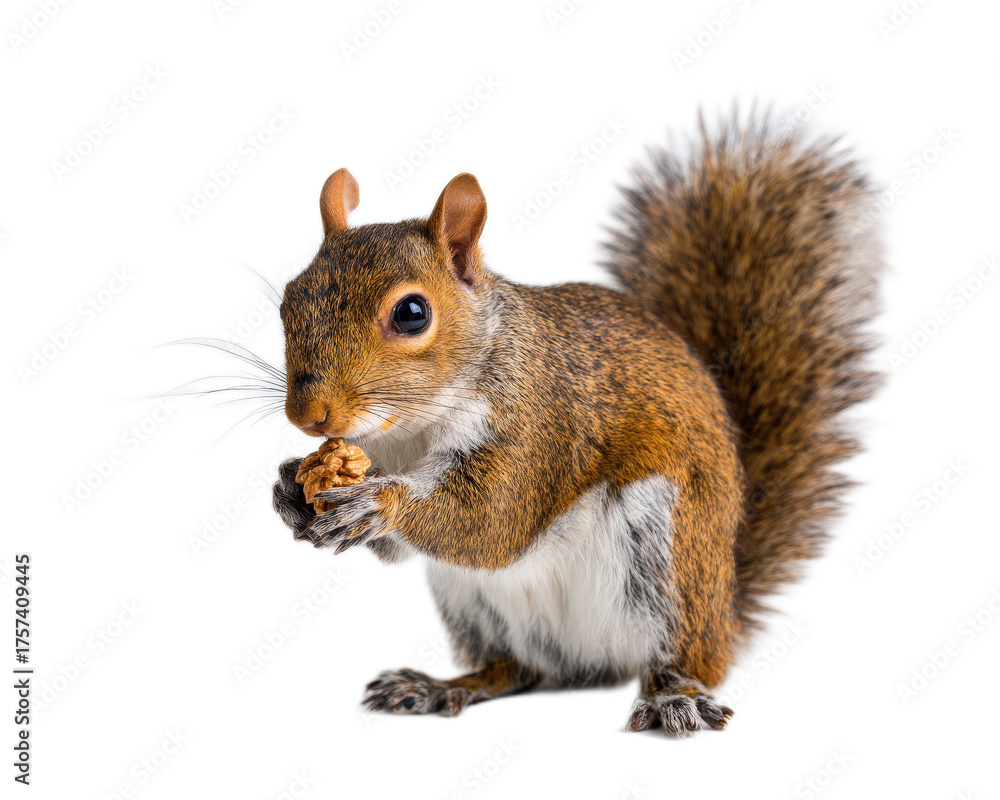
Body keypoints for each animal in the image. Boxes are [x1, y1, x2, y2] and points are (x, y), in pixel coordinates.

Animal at [271, 116, 881, 736]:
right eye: (288, 301)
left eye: (412, 313)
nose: (308, 416)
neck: (411, 429)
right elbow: (402, 549)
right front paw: (292, 491)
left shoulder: (541, 425)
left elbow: (491, 522)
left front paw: (378, 502)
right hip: (475, 604)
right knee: (515, 670)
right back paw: (440, 687)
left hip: (666, 559)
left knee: (680, 658)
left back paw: (673, 697)